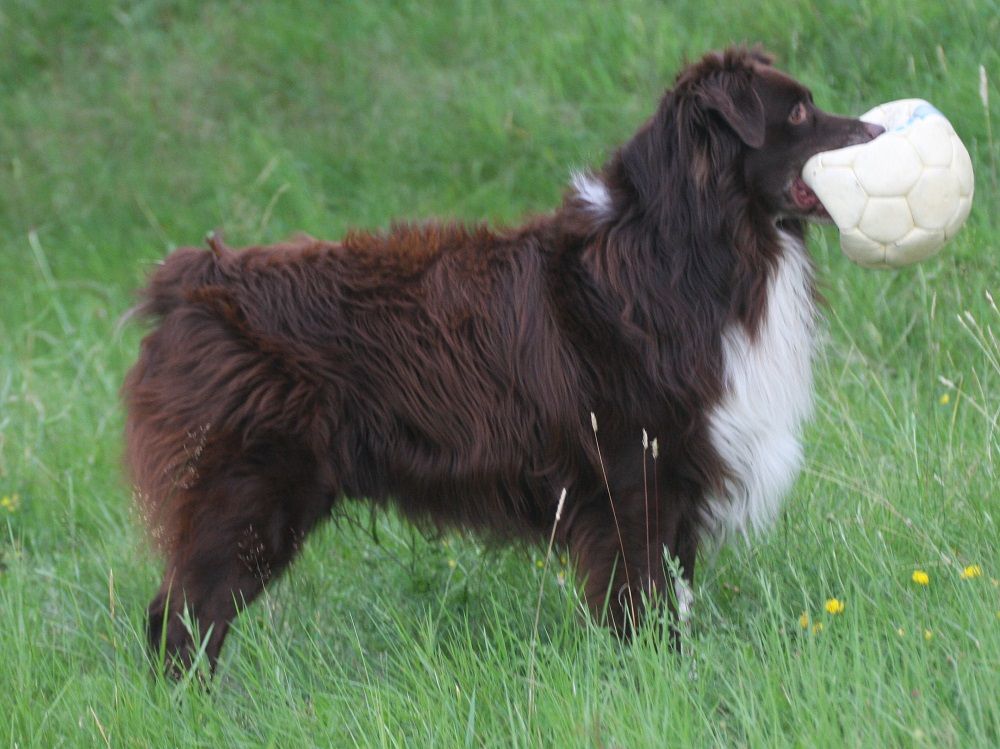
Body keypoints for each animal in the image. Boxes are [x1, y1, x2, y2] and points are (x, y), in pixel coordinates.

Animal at [125, 45, 884, 668]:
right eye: (798, 111)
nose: (879, 134)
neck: (683, 249)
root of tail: (198, 279)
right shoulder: (633, 480)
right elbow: (641, 608)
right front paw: (658, 684)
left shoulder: (677, 481)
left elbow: (673, 601)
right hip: (247, 491)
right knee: (180, 618)